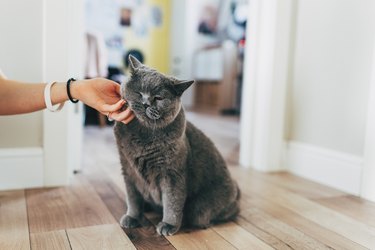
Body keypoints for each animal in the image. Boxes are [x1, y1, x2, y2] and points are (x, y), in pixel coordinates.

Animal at [113, 55, 241, 235]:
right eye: (139, 92)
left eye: (158, 98)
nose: (146, 103)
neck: (143, 133)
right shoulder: (128, 169)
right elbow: (133, 198)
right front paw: (132, 217)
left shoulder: (172, 173)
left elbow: (172, 201)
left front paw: (168, 225)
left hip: (201, 208)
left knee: (224, 212)